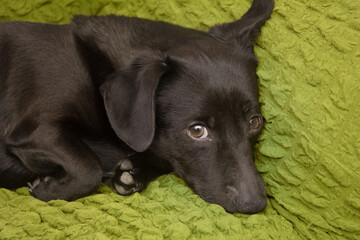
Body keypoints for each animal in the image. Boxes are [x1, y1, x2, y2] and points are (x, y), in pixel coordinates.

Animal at [0, 0, 272, 214]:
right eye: (197, 130)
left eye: (254, 122)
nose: (254, 204)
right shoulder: (37, 128)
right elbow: (88, 168)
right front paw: (48, 189)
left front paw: (133, 172)